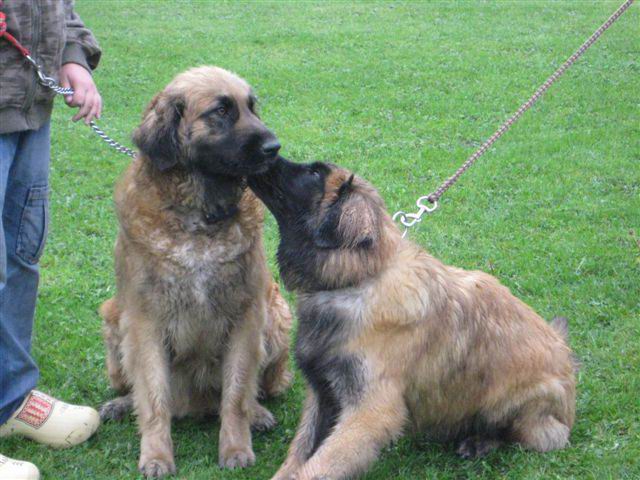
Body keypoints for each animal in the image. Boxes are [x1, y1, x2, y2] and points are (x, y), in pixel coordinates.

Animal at [248, 158, 576, 480]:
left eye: (314, 172)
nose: (268, 150)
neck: (359, 278)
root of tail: (566, 353)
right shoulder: (324, 392)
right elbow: (299, 454)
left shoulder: (371, 410)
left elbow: (317, 467)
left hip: (513, 400)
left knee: (533, 434)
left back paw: (480, 441)